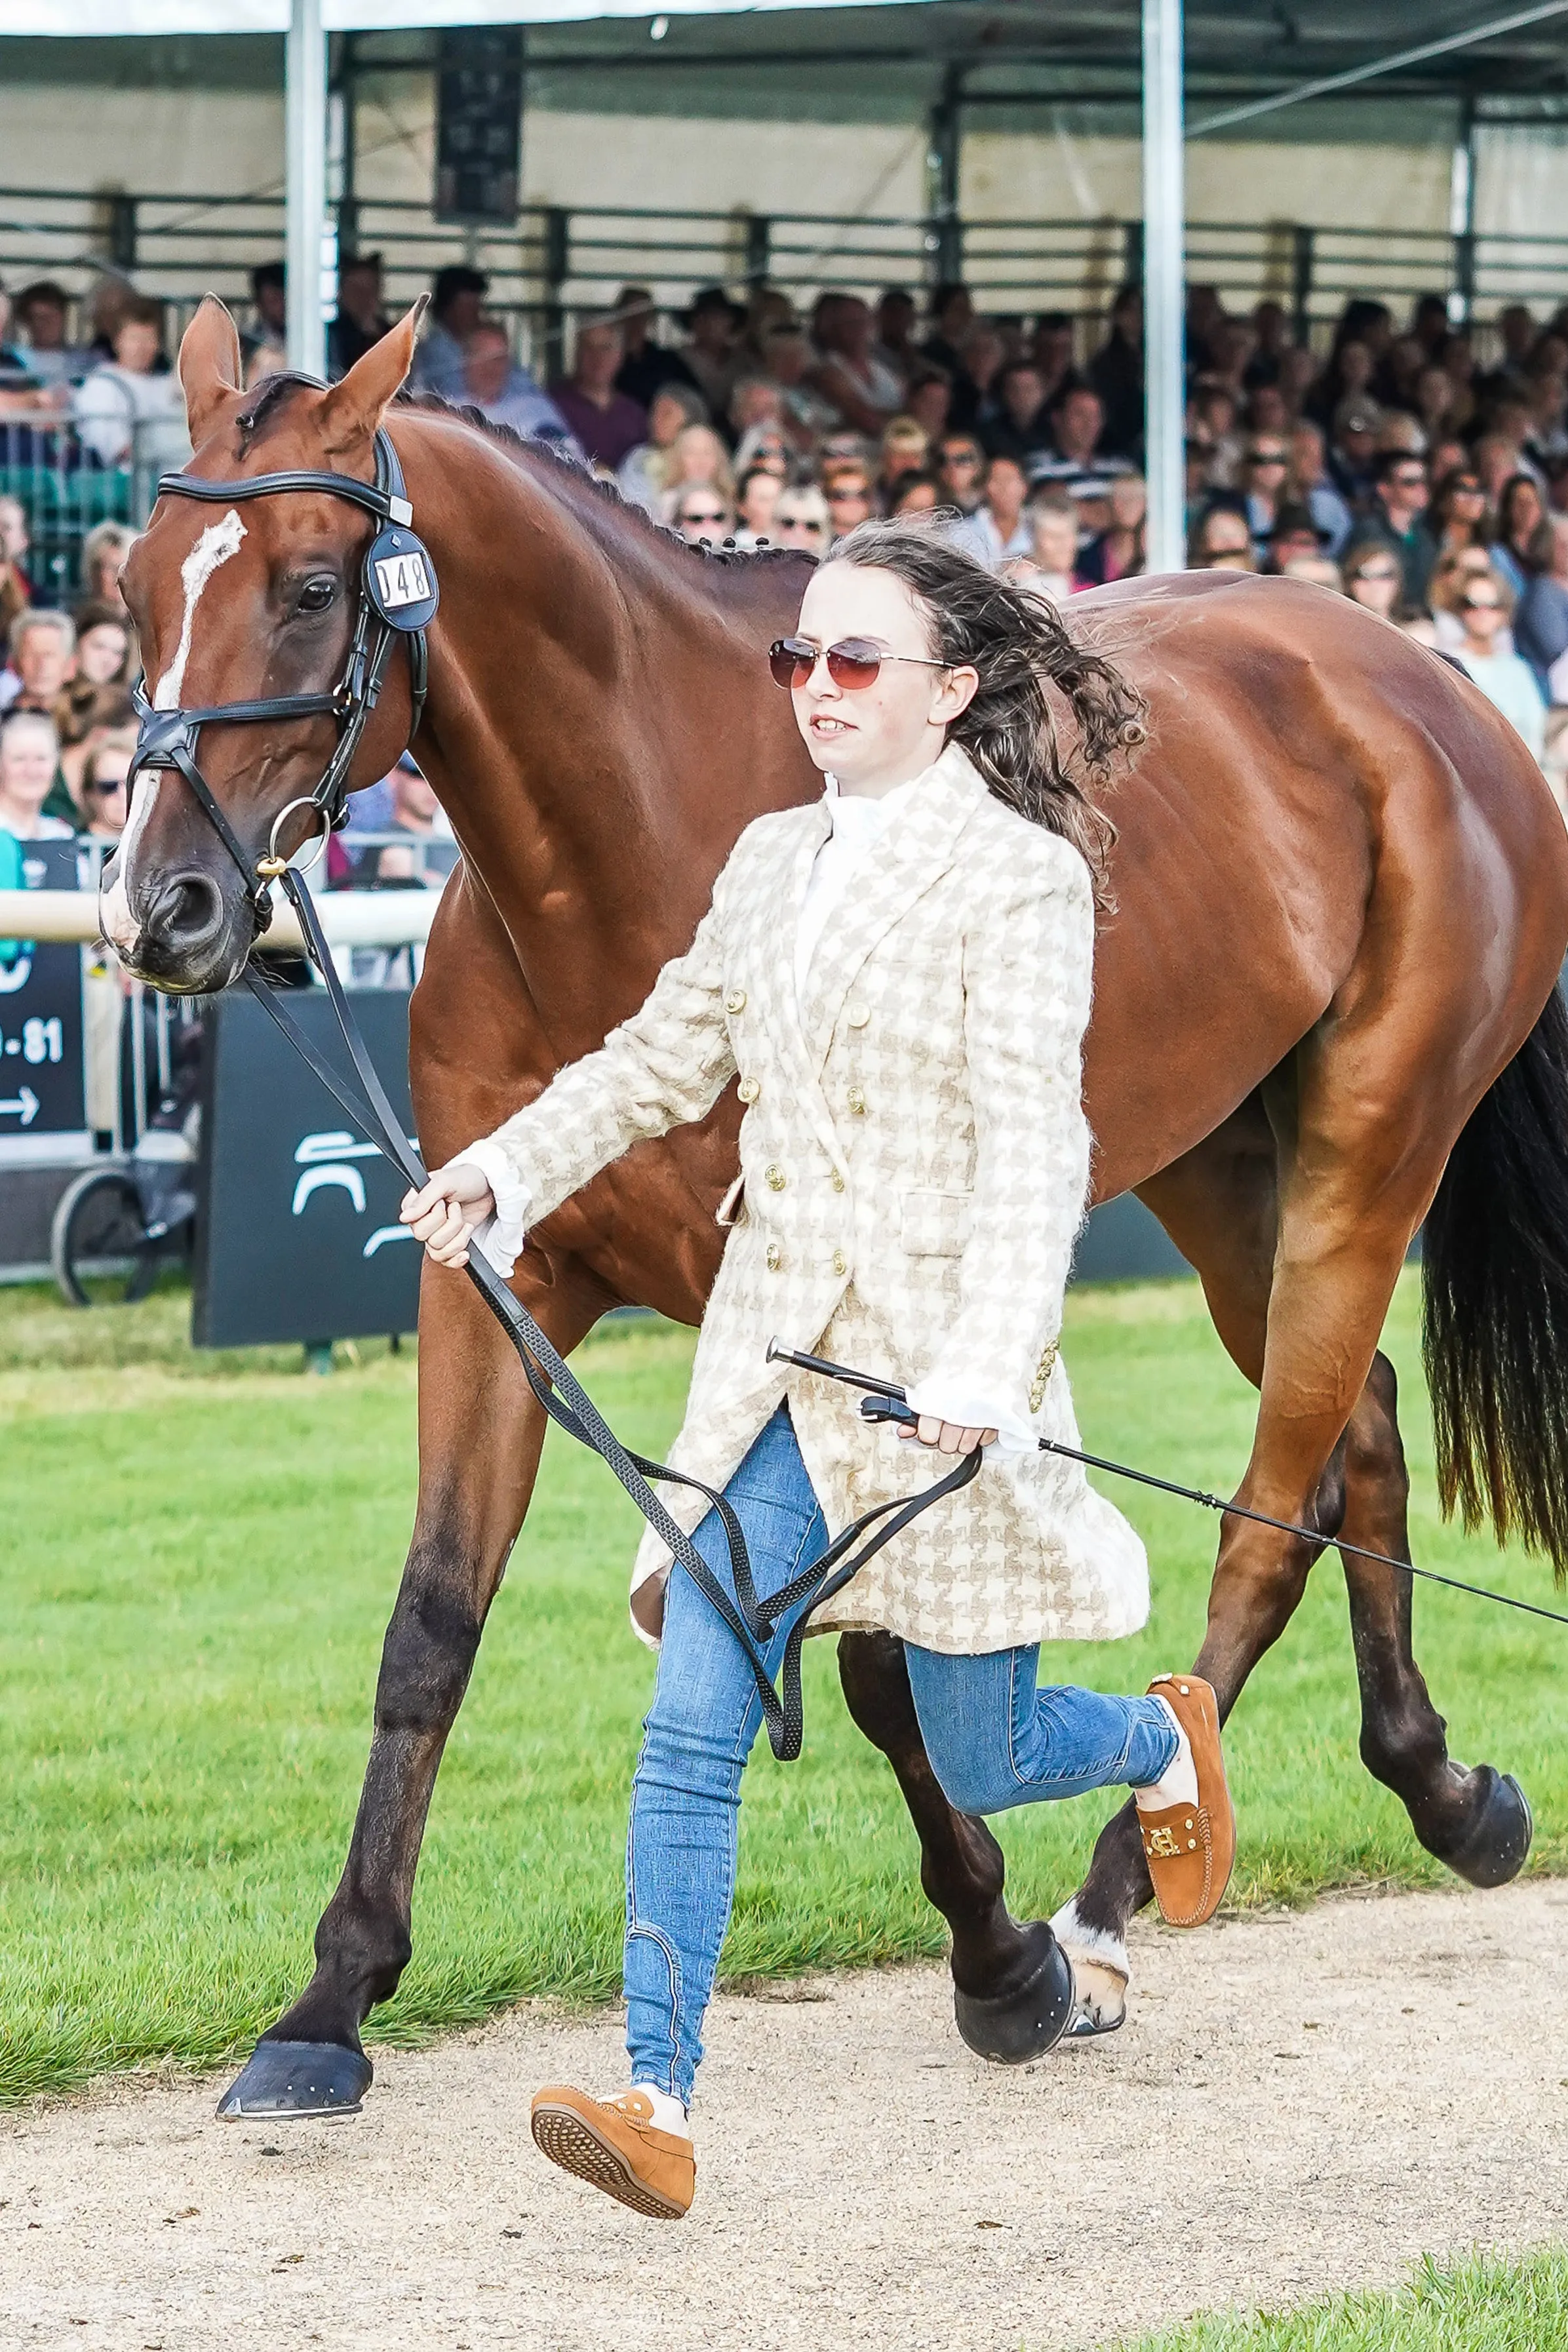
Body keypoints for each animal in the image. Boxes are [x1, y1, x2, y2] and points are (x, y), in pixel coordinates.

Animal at [110, 303, 1568, 2107]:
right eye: (130, 584)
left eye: (311, 586)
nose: (161, 907)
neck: (628, 849)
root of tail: (1416, 674)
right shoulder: (494, 1280)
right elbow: (433, 1620)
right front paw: (330, 1996)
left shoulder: (833, 1332)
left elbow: (872, 1649)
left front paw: (999, 1953)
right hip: (1220, 1168)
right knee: (1350, 1436)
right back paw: (1437, 1787)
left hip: (1370, 1148)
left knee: (1262, 1509)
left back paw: (1107, 1894)